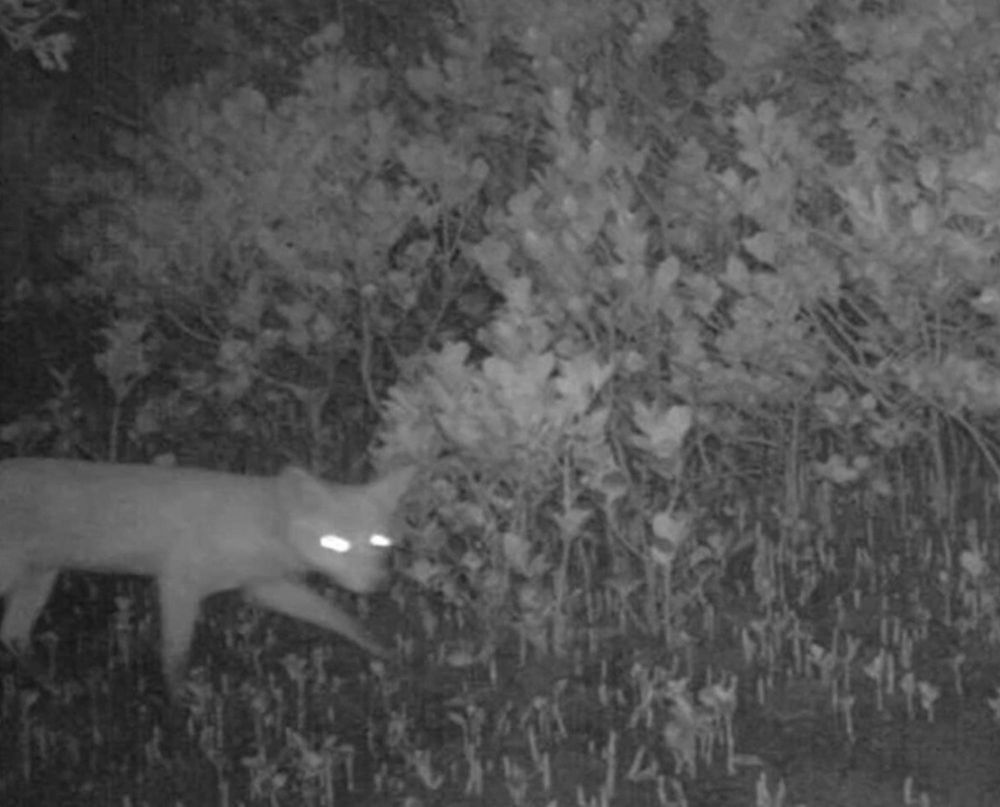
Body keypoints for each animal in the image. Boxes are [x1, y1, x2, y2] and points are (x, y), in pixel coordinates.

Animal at [0, 457, 415, 695]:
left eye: (379, 541)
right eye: (335, 543)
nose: (379, 584)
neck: (257, 530)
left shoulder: (263, 587)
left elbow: (342, 620)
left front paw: (388, 654)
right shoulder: (178, 583)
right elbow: (175, 659)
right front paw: (179, 720)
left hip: (39, 579)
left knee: (12, 635)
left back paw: (55, 689)